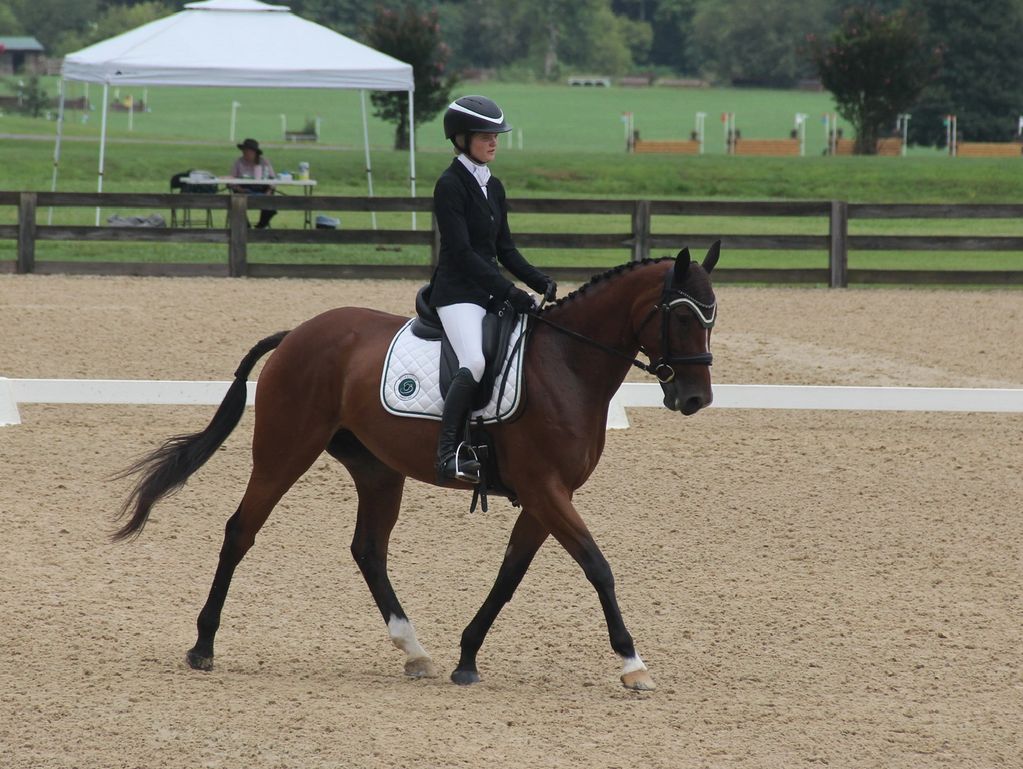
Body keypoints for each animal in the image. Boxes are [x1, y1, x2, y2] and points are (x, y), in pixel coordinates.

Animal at [114, 242, 720, 691]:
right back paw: (203, 646)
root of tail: (297, 334)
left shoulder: (547, 496)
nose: (694, 399)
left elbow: (510, 575)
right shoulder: (546, 489)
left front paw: (467, 657)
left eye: (712, 316)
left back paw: (415, 652)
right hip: (284, 452)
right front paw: (633, 664)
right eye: (680, 316)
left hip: (378, 470)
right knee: (241, 531)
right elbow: (597, 566)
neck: (567, 365)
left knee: (367, 549)